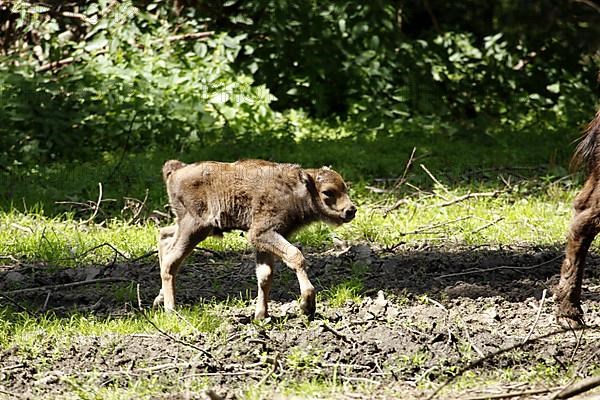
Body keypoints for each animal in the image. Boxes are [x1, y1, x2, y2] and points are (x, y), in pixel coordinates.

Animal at [152, 159, 356, 318]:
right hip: (195, 228)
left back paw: (159, 300)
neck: (298, 189)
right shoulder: (262, 233)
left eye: (344, 187)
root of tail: (176, 170)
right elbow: (295, 256)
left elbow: (264, 276)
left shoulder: (263, 242)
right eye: (328, 192)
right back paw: (171, 310)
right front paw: (307, 306)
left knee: (164, 237)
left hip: (188, 226)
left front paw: (261, 315)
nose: (351, 210)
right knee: (171, 261)